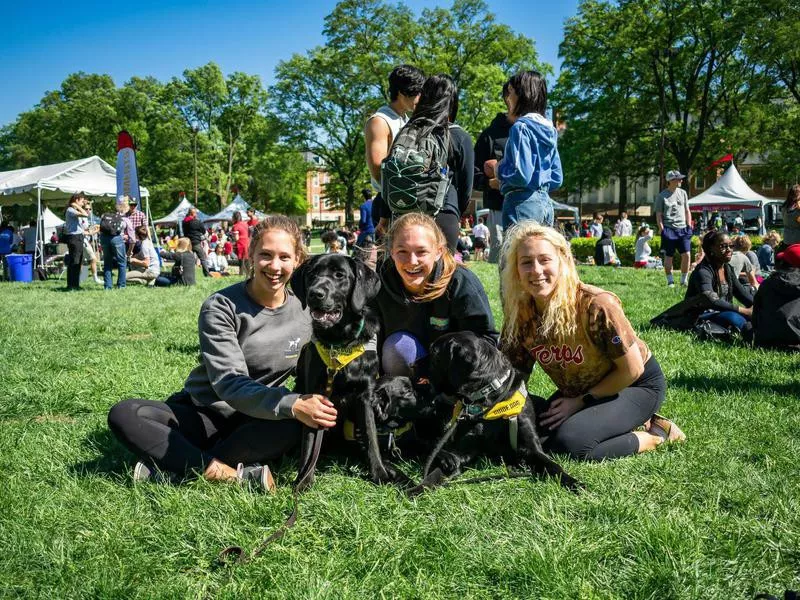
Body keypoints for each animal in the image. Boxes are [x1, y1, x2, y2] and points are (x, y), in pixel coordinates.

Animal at [290, 253, 410, 488]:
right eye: (311, 274)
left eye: (340, 275)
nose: (315, 293)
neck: (339, 343)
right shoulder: (314, 398)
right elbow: (308, 443)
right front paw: (304, 479)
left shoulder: (365, 396)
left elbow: (371, 437)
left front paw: (379, 473)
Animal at [416, 330, 584, 494]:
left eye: (434, 352)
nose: (413, 364)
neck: (488, 401)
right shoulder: (461, 452)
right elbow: (432, 476)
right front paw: (414, 490)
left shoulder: (531, 447)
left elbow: (553, 465)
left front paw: (574, 483)